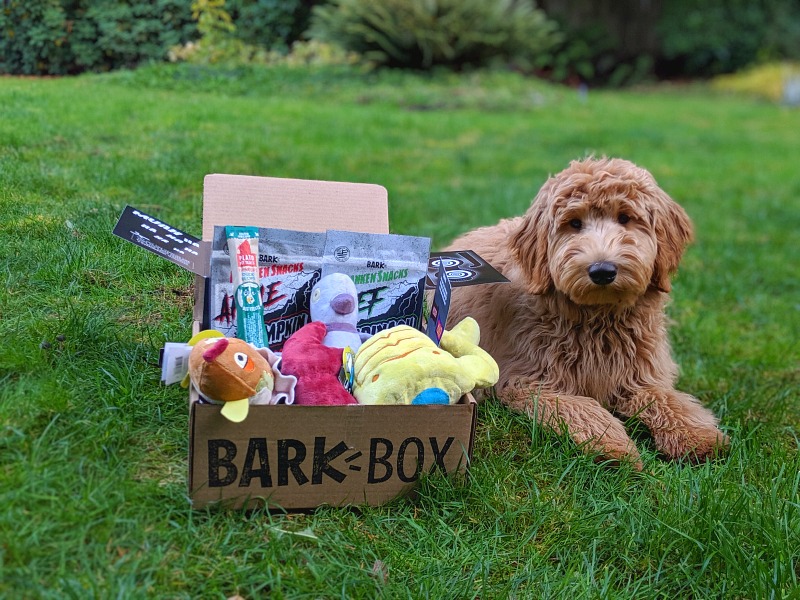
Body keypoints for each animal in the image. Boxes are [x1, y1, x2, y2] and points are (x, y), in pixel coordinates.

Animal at [446, 157, 728, 466]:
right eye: (574, 223)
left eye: (625, 218)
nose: (602, 271)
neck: (599, 319)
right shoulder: (530, 381)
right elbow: (584, 408)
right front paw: (614, 447)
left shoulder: (639, 373)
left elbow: (667, 398)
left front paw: (697, 437)